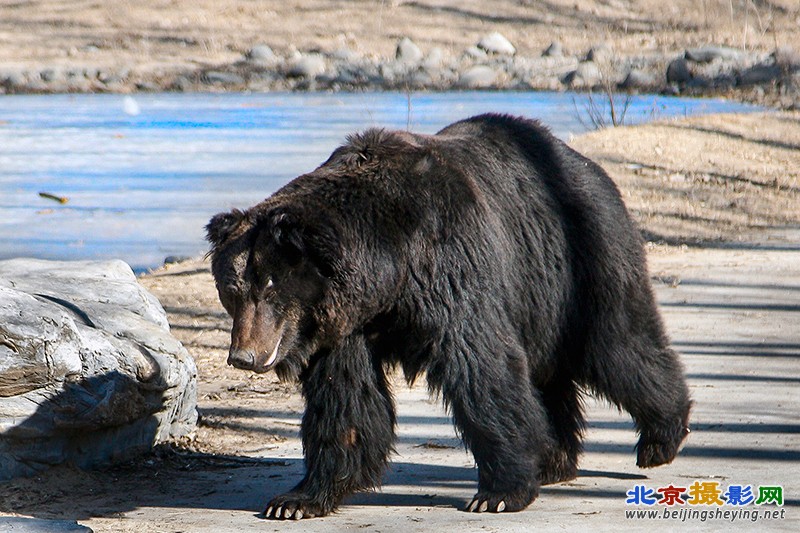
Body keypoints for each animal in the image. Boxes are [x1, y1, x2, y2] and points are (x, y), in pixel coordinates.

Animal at [208, 114, 692, 516]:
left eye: (271, 287)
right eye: (233, 290)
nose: (243, 356)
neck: (388, 272)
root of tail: (590, 166)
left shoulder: (449, 267)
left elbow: (481, 367)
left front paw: (498, 492)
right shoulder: (348, 324)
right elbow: (345, 400)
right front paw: (297, 499)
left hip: (578, 261)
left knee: (617, 345)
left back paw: (659, 439)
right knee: (551, 373)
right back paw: (555, 459)